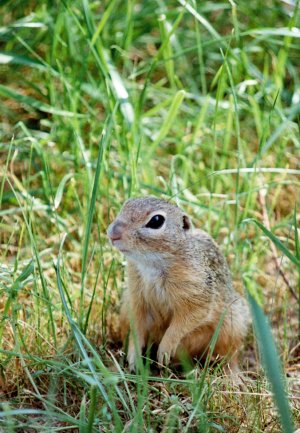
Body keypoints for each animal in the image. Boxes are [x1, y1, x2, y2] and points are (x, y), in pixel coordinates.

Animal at [106, 197, 250, 374]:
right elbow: (137, 326)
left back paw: (232, 375)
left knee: (229, 356)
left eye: (156, 221)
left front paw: (165, 350)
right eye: (127, 204)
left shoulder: (197, 294)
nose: (112, 233)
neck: (152, 264)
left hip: (233, 325)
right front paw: (135, 358)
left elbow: (184, 322)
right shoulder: (135, 298)